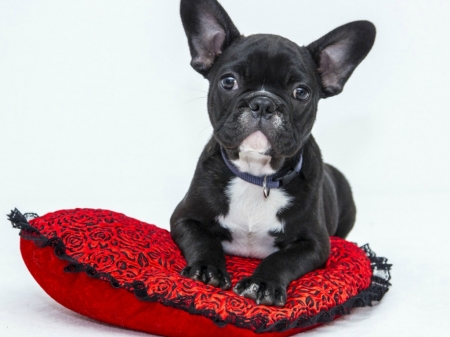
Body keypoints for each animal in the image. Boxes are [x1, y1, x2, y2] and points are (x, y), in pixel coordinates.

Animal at [171, 0, 374, 306]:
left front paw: (263, 283)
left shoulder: (314, 244)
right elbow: (202, 240)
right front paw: (207, 268)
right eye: (228, 81)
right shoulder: (184, 218)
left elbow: (282, 259)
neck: (257, 174)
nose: (263, 103)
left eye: (301, 92)